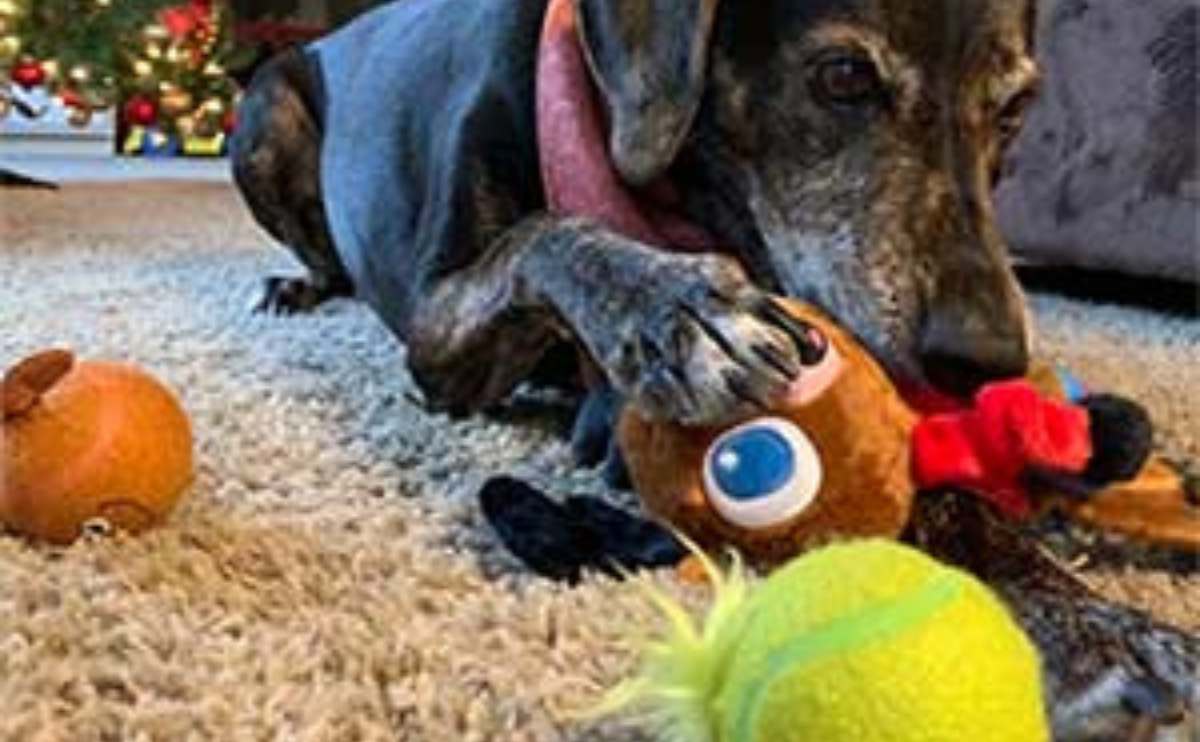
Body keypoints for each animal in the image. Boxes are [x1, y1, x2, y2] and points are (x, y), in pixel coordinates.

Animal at [229, 0, 1195, 734]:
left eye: (1016, 108)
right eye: (843, 77)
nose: (989, 360)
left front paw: (1084, 600)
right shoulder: (440, 344)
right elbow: (545, 234)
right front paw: (677, 308)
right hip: (263, 116)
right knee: (319, 245)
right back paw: (298, 284)